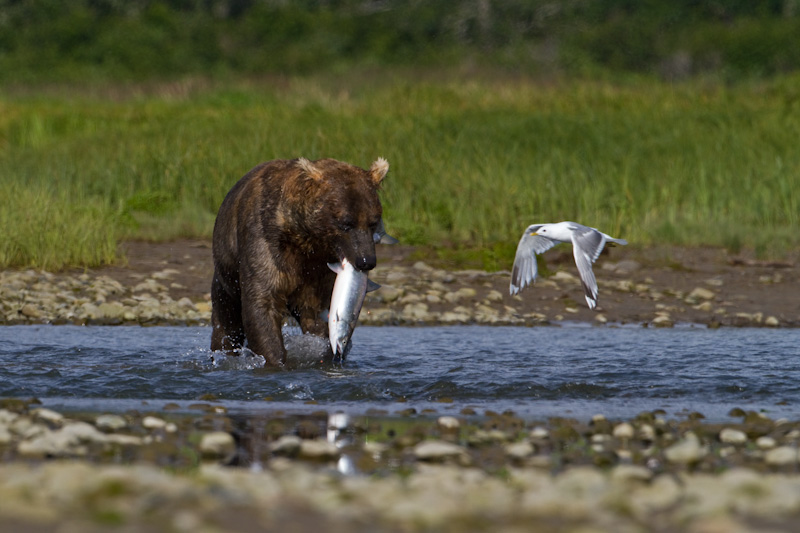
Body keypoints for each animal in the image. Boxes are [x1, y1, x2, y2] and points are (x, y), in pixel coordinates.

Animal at [211, 157, 390, 366]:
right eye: (346, 223)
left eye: (373, 222)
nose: (366, 260)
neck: (304, 240)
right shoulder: (265, 241)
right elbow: (262, 302)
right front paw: (275, 359)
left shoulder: (319, 270)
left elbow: (317, 315)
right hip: (226, 279)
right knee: (226, 322)